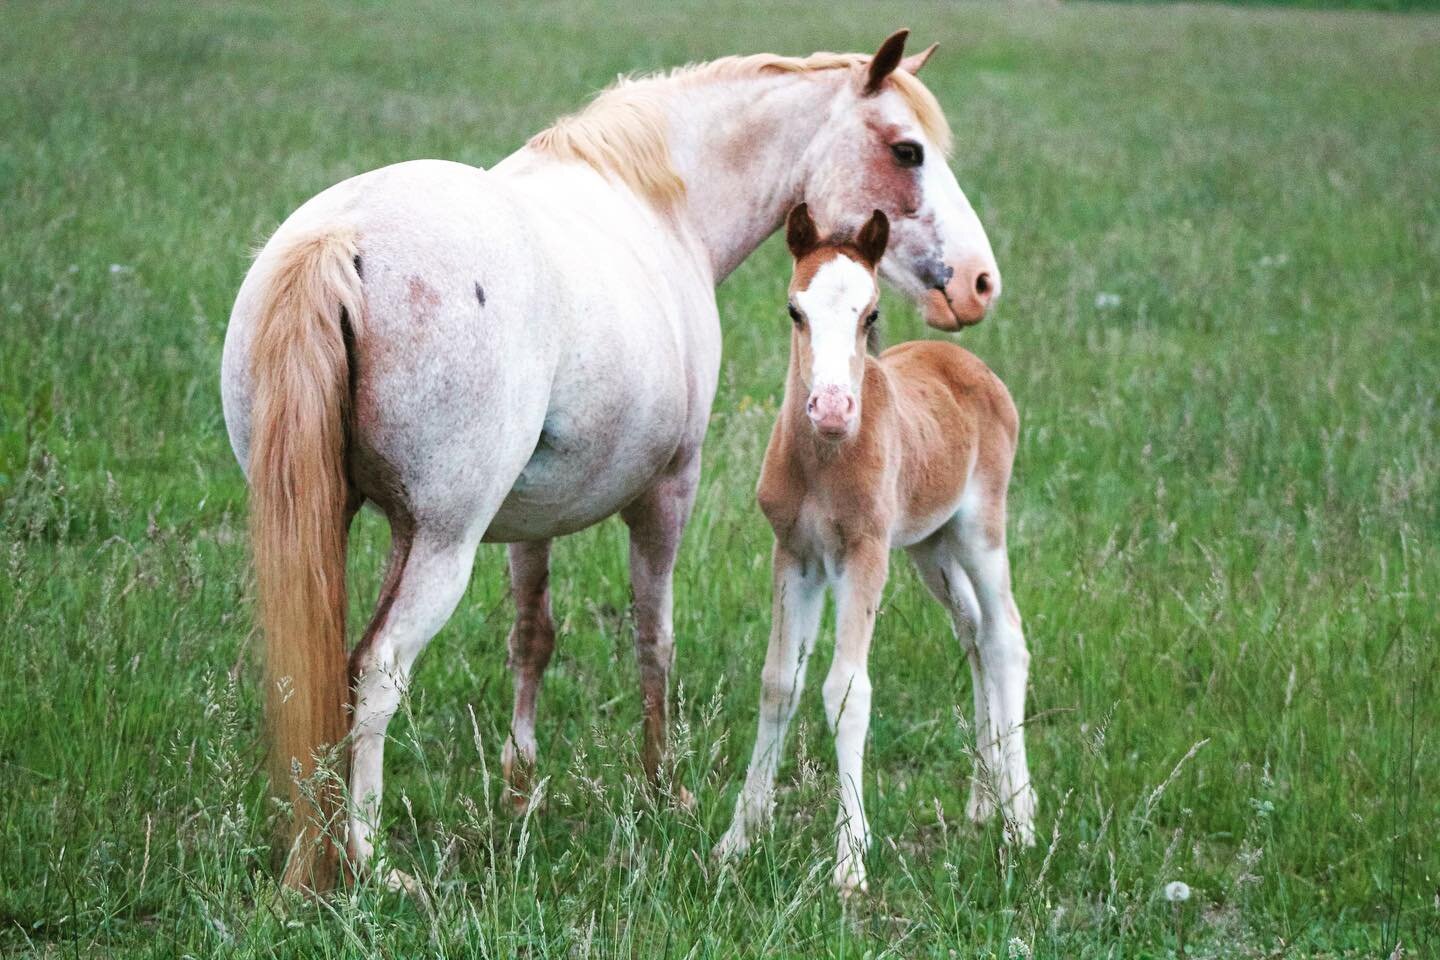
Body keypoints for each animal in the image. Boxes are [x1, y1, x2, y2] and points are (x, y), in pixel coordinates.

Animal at [711, 207, 1031, 898]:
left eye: (872, 313)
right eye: (794, 310)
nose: (831, 408)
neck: (826, 461)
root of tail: (972, 366)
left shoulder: (864, 554)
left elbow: (847, 690)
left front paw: (850, 861)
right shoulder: (794, 555)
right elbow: (779, 682)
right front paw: (738, 839)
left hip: (979, 531)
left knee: (1005, 638)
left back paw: (1020, 819)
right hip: (930, 546)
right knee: (972, 632)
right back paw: (981, 802)